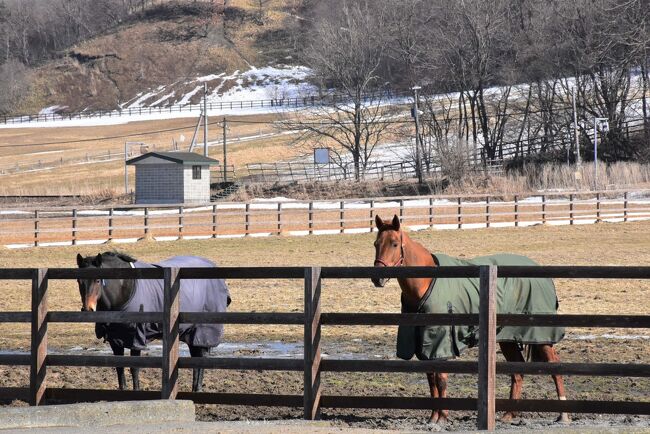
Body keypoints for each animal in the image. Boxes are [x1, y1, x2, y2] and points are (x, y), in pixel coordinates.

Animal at [370, 215, 568, 426]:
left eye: (394, 243)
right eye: (376, 244)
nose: (377, 278)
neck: (426, 282)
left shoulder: (441, 342)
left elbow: (441, 379)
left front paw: (443, 416)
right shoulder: (424, 343)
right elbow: (431, 379)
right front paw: (433, 416)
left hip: (540, 336)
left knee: (555, 366)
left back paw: (563, 415)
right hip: (507, 338)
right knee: (517, 372)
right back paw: (508, 415)